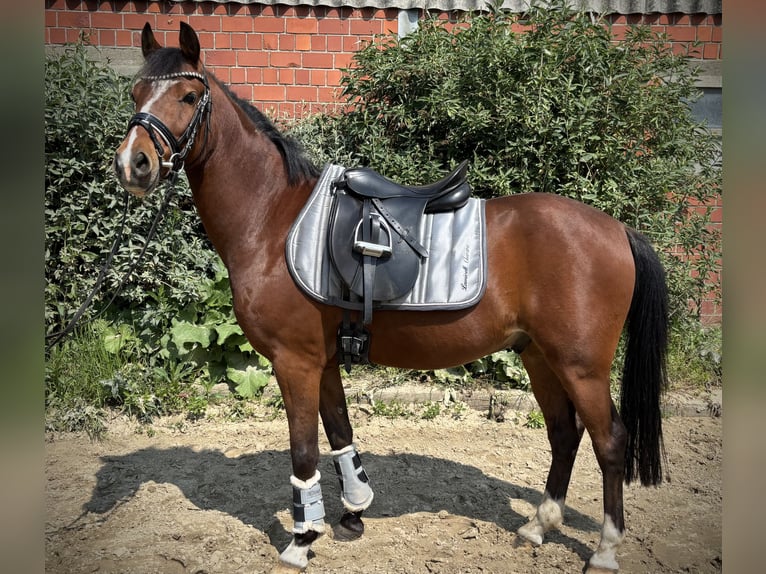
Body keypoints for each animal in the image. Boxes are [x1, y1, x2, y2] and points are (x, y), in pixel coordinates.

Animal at [113, 22, 668, 573]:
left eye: (188, 96)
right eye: (136, 93)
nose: (132, 164)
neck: (272, 220)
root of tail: (619, 230)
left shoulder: (295, 361)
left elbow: (304, 452)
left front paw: (302, 539)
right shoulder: (323, 359)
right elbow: (340, 433)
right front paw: (353, 513)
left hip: (580, 365)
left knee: (610, 442)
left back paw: (605, 549)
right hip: (539, 356)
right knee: (563, 433)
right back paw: (539, 524)